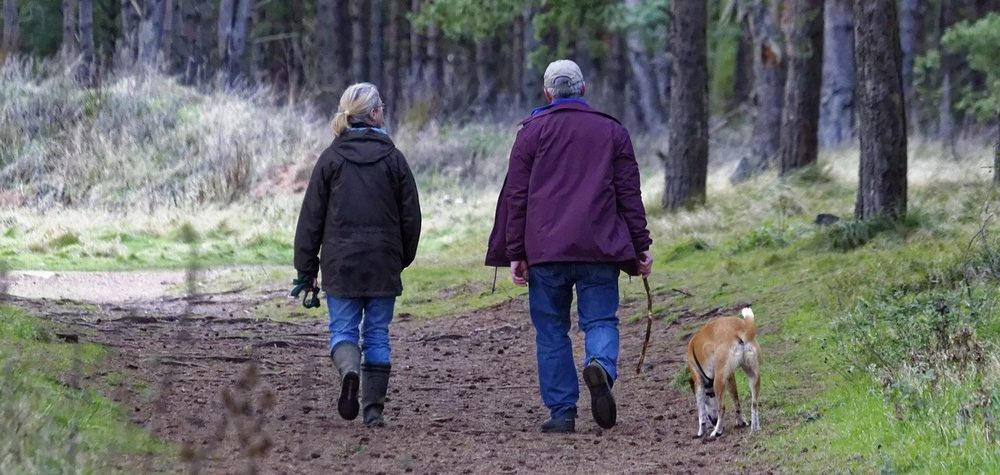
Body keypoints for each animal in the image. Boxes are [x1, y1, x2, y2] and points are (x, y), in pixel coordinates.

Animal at [688, 308, 756, 438]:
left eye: (709, 396)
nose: (714, 421)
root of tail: (734, 331)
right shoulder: (730, 377)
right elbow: (736, 402)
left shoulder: (698, 382)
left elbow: (701, 411)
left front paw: (701, 431)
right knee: (740, 402)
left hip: (718, 381)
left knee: (722, 408)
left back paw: (717, 431)